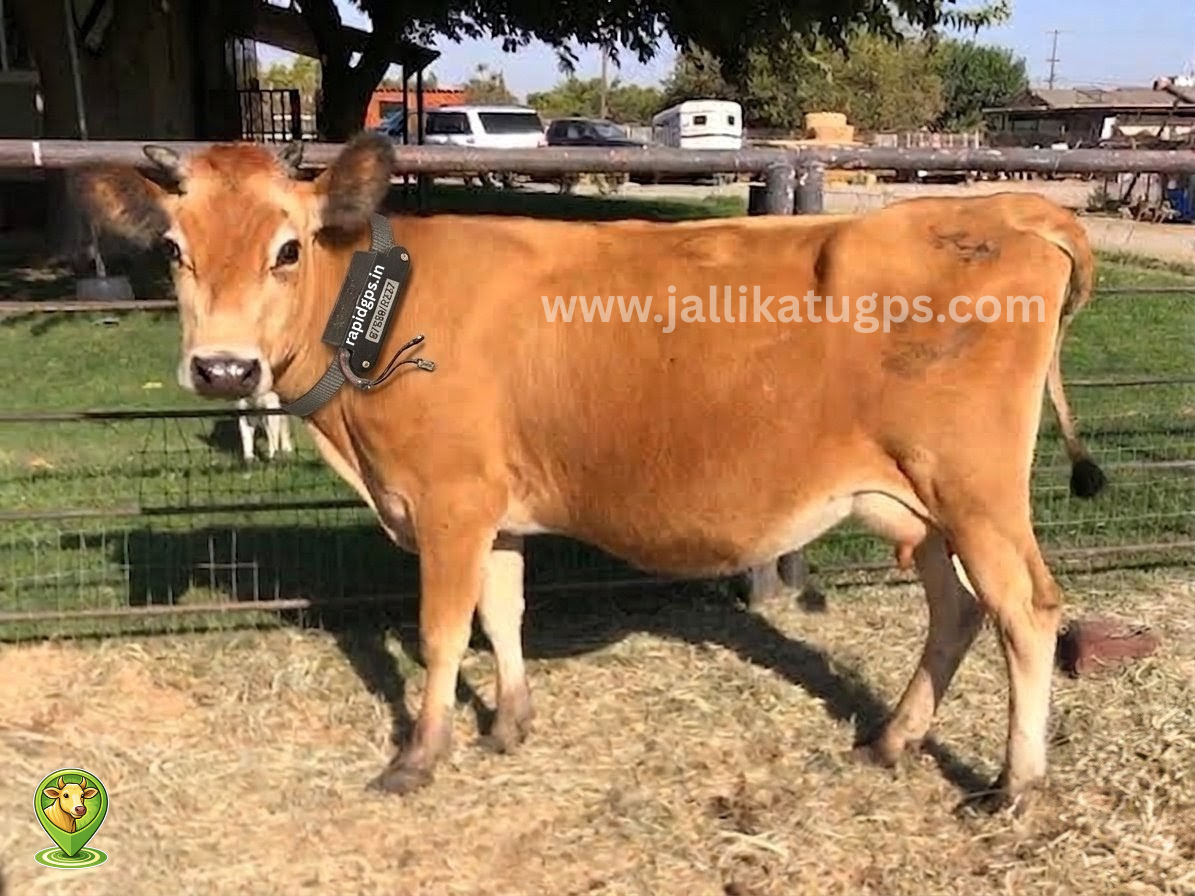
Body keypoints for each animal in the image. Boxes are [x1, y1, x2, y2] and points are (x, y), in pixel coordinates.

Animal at [71, 133, 1107, 811]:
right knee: (956, 610)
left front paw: (418, 759)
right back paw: (890, 741)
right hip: (911, 501)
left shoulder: (447, 501)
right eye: (173, 249)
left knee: (1025, 611)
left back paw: (1012, 786)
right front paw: (508, 726)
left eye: (287, 247)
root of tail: (1008, 207)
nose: (224, 370)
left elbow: (442, 634)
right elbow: (503, 612)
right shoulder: (494, 508)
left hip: (974, 490)